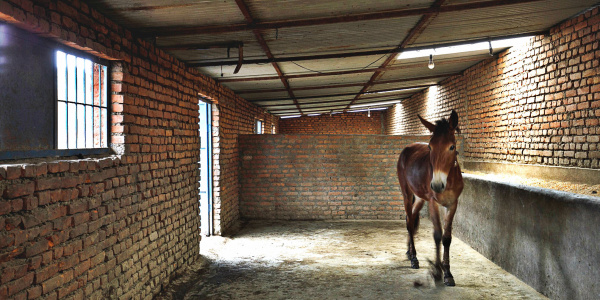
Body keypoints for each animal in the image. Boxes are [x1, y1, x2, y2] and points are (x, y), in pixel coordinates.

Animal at [398, 110, 464, 286]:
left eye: (452, 147)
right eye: (430, 146)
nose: (437, 185)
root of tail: (408, 148)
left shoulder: (452, 204)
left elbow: (447, 238)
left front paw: (448, 273)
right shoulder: (434, 203)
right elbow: (437, 235)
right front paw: (437, 271)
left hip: (420, 198)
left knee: (412, 218)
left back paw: (409, 251)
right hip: (407, 193)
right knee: (409, 222)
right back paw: (414, 258)